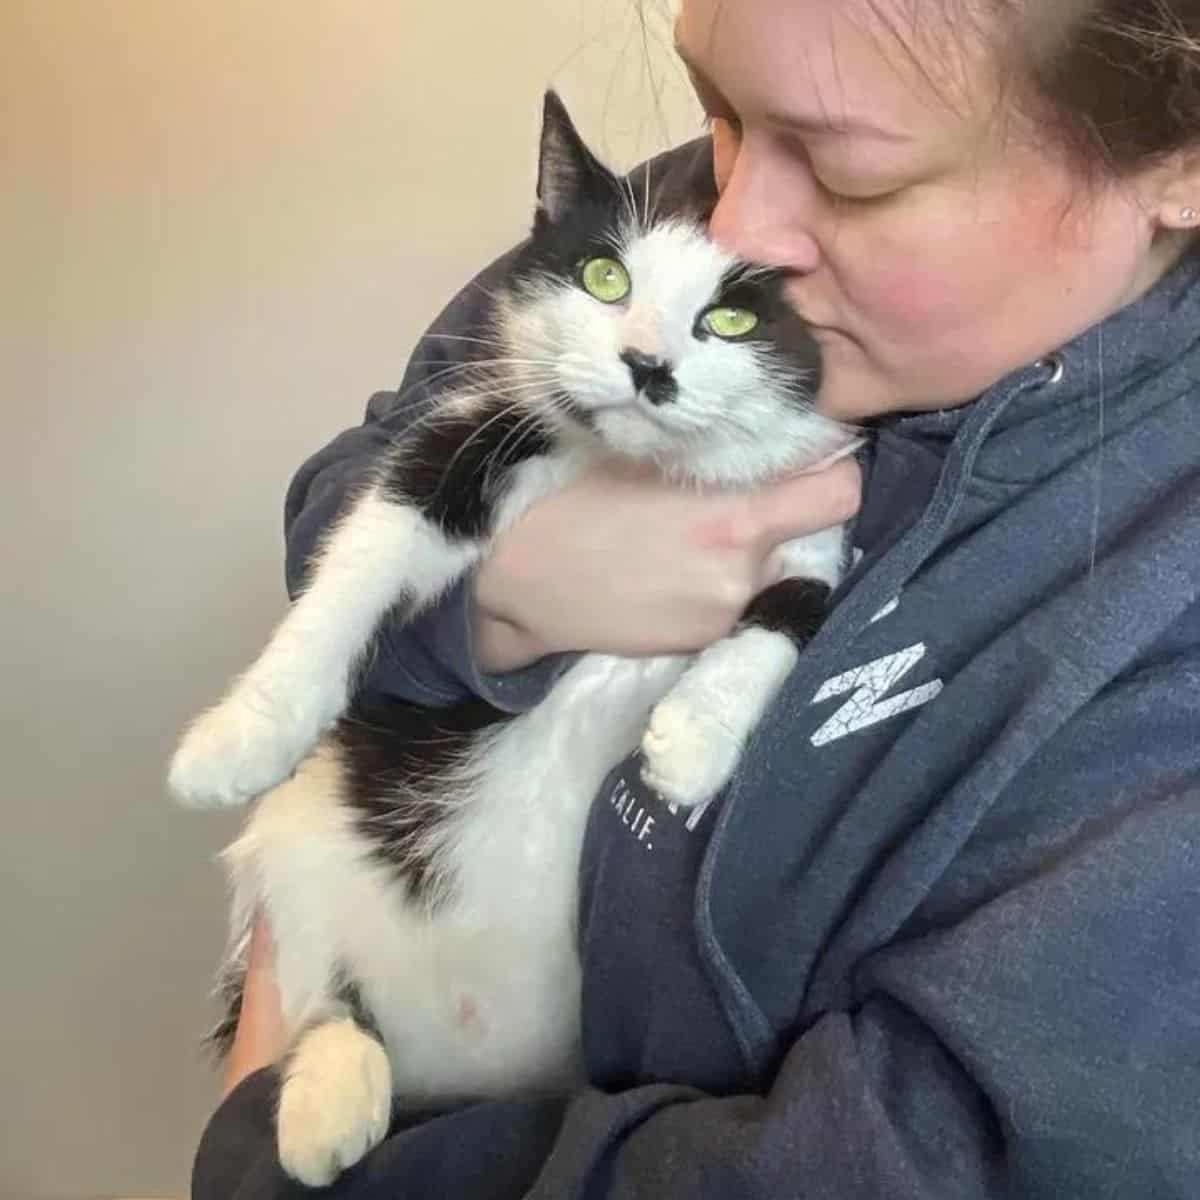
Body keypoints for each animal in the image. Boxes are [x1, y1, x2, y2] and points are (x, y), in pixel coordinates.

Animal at [169, 88, 859, 1185]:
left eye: (731, 317)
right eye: (606, 276)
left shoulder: (816, 514)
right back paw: (325, 1103)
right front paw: (244, 734)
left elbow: (792, 612)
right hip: (303, 851)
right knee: (321, 990)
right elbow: (361, 554)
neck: (641, 475)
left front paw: (695, 741)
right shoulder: (475, 442)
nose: (647, 366)